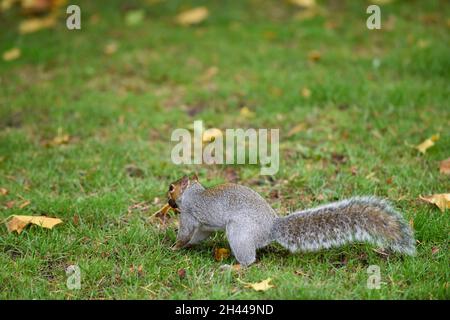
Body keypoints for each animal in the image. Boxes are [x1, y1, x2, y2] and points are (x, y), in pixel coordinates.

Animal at [167, 174, 416, 266]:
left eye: (171, 187)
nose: (167, 200)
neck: (193, 193)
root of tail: (271, 228)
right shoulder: (203, 226)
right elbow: (200, 235)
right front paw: (189, 246)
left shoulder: (188, 214)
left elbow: (185, 233)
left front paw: (174, 247)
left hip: (239, 232)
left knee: (249, 261)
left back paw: (233, 267)